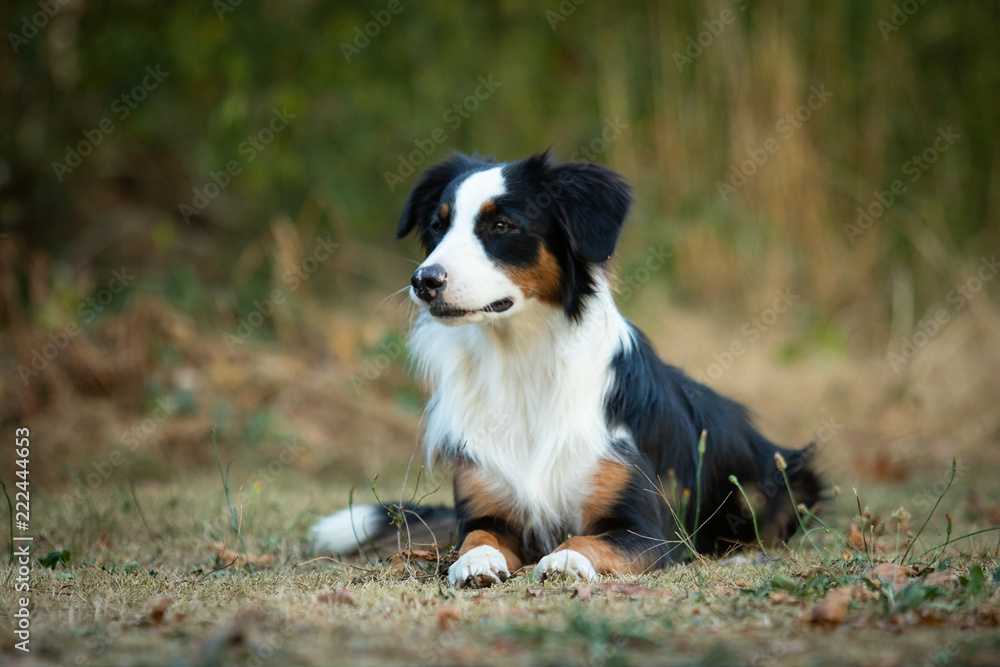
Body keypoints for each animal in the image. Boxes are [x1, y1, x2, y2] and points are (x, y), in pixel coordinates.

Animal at [314, 153, 820, 588]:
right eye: (438, 226)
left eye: (501, 225)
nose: (423, 281)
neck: (521, 363)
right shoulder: (485, 506)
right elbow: (475, 536)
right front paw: (474, 562)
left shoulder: (647, 530)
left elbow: (587, 539)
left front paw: (566, 559)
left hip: (786, 480)